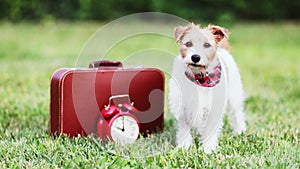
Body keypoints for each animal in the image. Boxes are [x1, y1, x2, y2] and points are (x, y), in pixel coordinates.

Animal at [169, 22, 246, 153]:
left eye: (207, 45)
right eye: (188, 43)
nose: (195, 57)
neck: (199, 78)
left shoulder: (214, 110)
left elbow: (210, 130)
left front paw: (208, 149)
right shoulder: (183, 108)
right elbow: (184, 129)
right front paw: (184, 146)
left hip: (234, 95)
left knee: (237, 113)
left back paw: (239, 131)